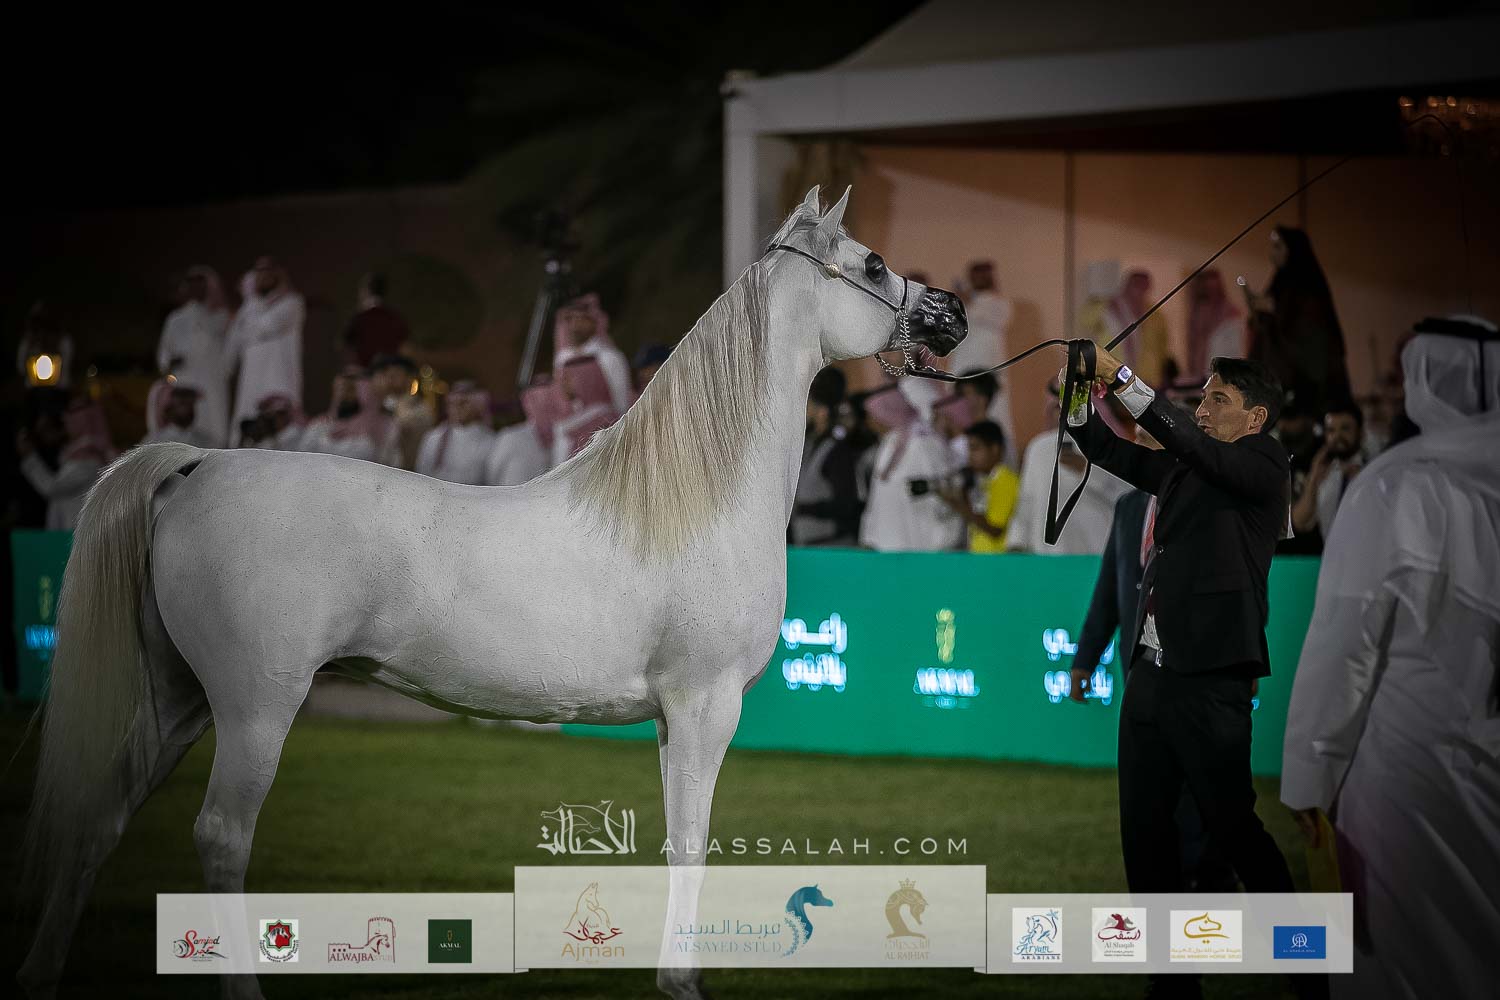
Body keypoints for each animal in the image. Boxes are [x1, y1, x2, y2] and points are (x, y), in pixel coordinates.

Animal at [18, 185, 966, 999]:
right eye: (876, 262)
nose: (952, 313)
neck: (694, 499)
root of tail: (197, 464)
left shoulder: (672, 717)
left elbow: (673, 841)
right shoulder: (706, 704)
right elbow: (693, 844)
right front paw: (682, 982)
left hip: (177, 697)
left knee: (97, 818)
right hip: (254, 704)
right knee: (219, 836)